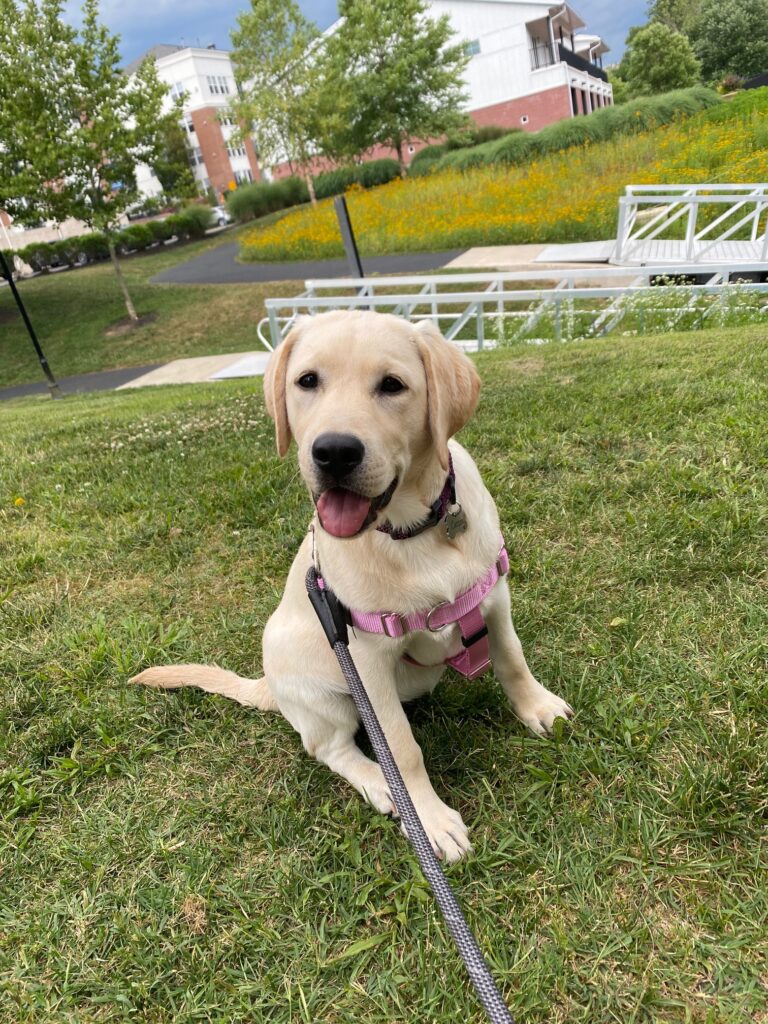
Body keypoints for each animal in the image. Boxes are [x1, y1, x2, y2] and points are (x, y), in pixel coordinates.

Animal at [135, 309, 573, 856]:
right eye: (307, 381)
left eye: (392, 385)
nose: (334, 452)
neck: (412, 531)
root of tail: (268, 686)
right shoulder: (367, 660)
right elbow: (401, 748)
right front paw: (429, 820)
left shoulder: (494, 597)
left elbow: (512, 659)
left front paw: (538, 707)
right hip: (324, 696)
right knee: (330, 748)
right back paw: (378, 783)